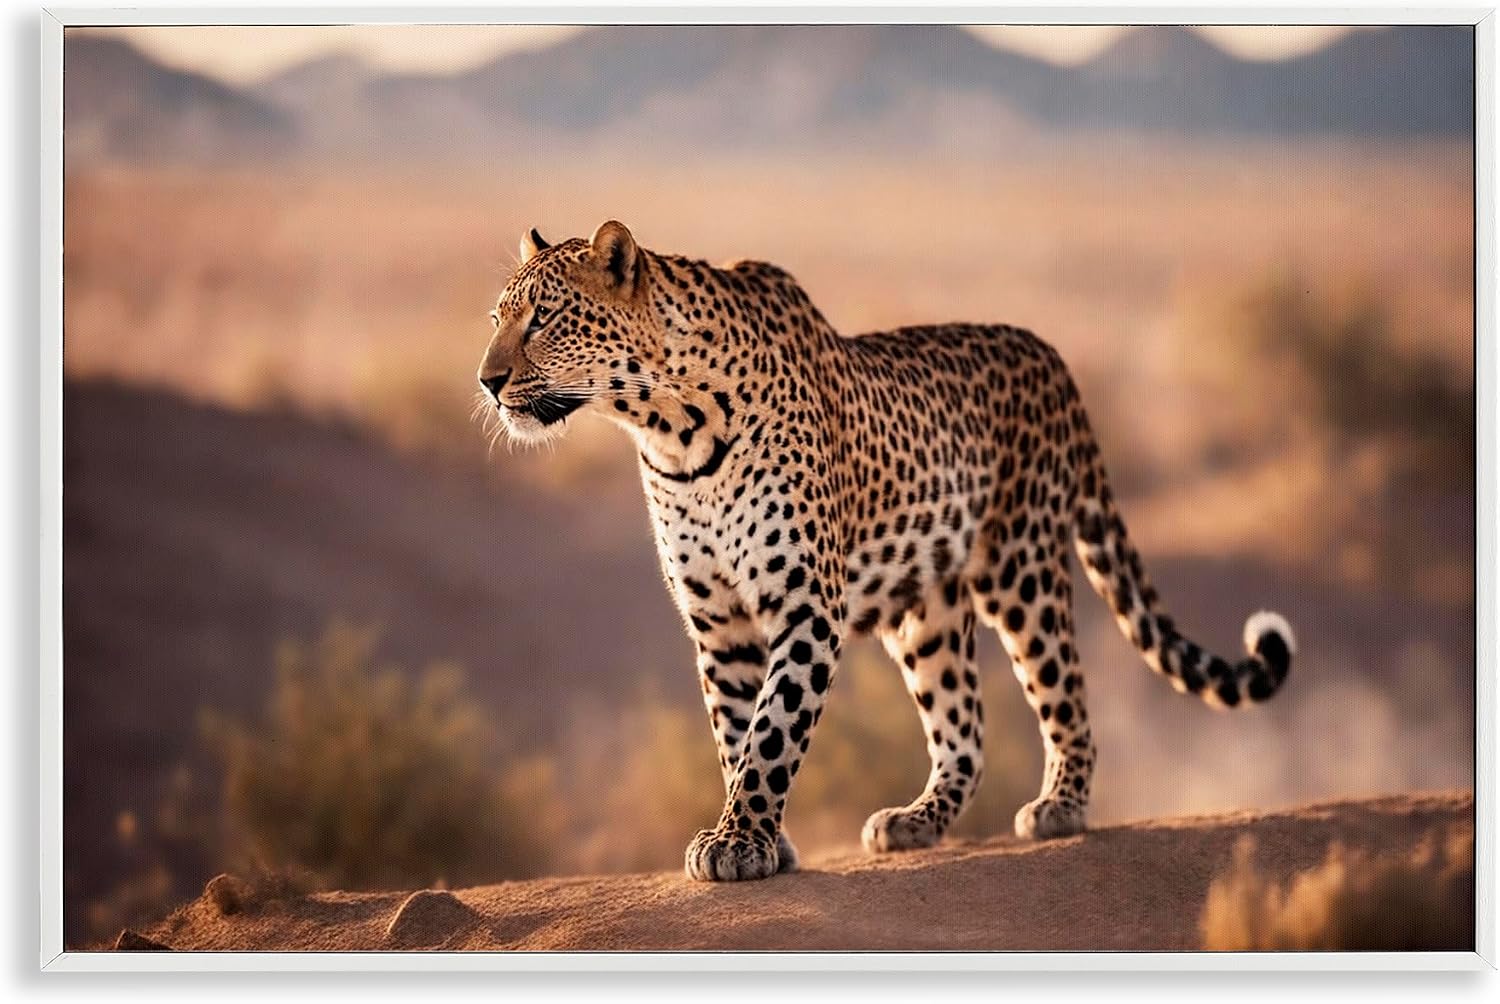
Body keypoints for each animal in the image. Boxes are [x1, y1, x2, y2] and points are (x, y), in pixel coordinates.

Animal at [476, 220, 1295, 882]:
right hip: (927, 613)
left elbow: (773, 731)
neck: (667, 428)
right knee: (965, 728)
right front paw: (761, 841)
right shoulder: (721, 622)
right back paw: (917, 820)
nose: (486, 380)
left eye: (545, 317)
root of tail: (1052, 356)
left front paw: (740, 842)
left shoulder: (805, 606)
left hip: (1022, 569)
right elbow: (735, 731)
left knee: (1064, 690)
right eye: (497, 317)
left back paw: (1061, 806)